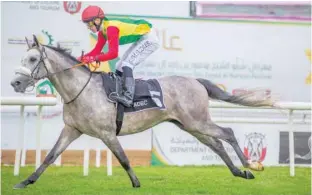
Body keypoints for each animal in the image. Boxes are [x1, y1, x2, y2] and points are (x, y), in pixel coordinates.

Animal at [9, 35, 274, 189]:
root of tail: (196, 81)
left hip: (197, 122)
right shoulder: (72, 129)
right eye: (23, 58)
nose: (15, 83)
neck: (81, 90)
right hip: (190, 125)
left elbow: (123, 159)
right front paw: (26, 181)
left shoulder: (107, 133)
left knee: (227, 132)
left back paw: (251, 166)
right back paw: (239, 172)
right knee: (216, 144)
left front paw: (136, 183)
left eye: (32, 59)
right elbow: (50, 156)